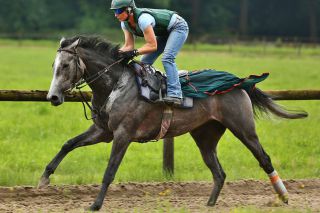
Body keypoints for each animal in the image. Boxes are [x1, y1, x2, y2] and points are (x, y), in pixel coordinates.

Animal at [40, 35, 308, 211]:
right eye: (53, 66)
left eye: (65, 65)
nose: (52, 97)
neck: (115, 85)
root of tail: (238, 82)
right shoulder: (103, 131)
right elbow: (68, 144)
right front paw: (44, 178)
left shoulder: (123, 134)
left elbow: (110, 169)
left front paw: (95, 204)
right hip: (205, 136)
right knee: (219, 172)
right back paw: (209, 203)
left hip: (243, 128)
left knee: (264, 159)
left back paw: (284, 197)